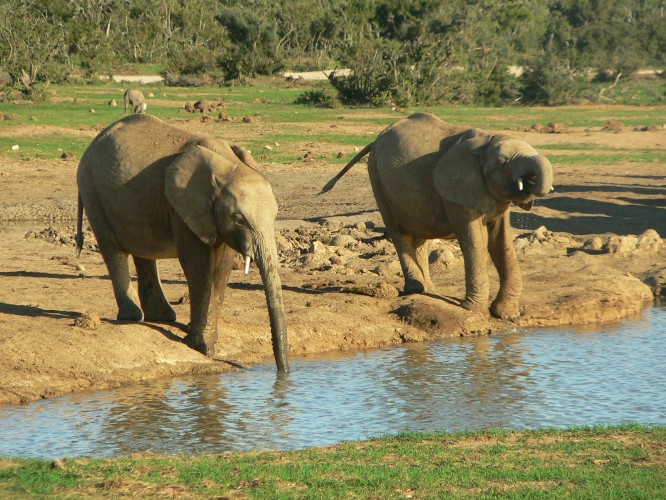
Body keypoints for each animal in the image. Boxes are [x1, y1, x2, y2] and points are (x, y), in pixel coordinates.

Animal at [76, 114, 288, 372]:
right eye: (238, 218)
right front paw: (199, 346)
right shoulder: (182, 206)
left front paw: (205, 345)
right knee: (113, 250)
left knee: (143, 251)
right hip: (92, 190)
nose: (283, 373)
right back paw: (133, 317)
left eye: (276, 214)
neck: (226, 165)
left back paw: (163, 317)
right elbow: (198, 265)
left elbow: (221, 268)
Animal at [320, 111, 552, 318]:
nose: (528, 182)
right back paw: (416, 289)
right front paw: (473, 310)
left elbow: (501, 242)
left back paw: (430, 291)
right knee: (400, 233)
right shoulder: (456, 190)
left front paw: (507, 315)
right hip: (376, 175)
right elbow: (474, 240)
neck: (486, 141)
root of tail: (377, 139)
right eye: (502, 163)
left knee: (420, 238)